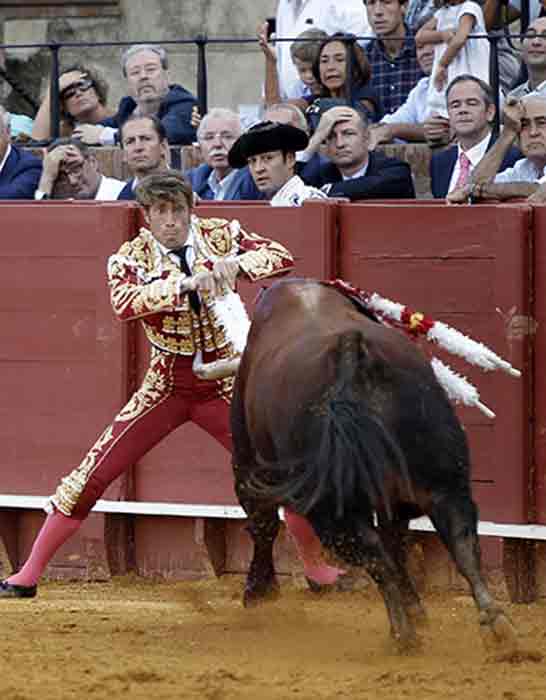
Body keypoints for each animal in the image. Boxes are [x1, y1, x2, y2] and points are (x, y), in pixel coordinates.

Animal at [228, 278, 516, 652]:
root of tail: (354, 355)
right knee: (460, 540)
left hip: (329, 506)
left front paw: (259, 593)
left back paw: (403, 635)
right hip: (443, 477)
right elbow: (398, 538)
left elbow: (262, 524)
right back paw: (495, 625)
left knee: (375, 555)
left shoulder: (247, 463)